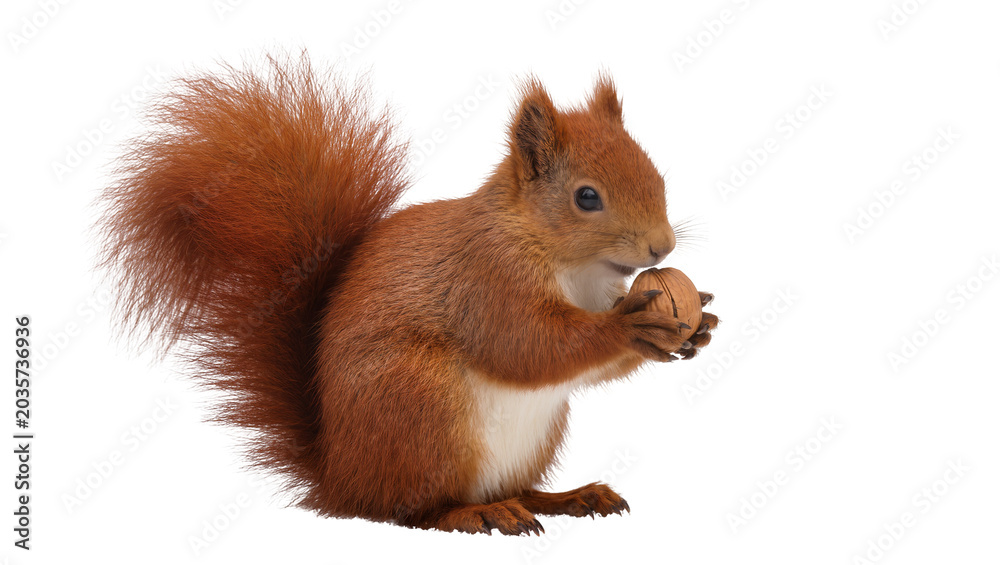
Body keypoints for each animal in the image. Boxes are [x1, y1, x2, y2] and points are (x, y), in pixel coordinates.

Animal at [98, 54, 718, 536]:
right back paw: (478, 514)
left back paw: (562, 497)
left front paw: (698, 327)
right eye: (586, 197)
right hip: (420, 403)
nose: (662, 247)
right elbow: (527, 346)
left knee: (508, 488)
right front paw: (629, 326)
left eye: (655, 173)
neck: (573, 267)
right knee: (407, 510)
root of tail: (339, 477)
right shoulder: (486, 279)